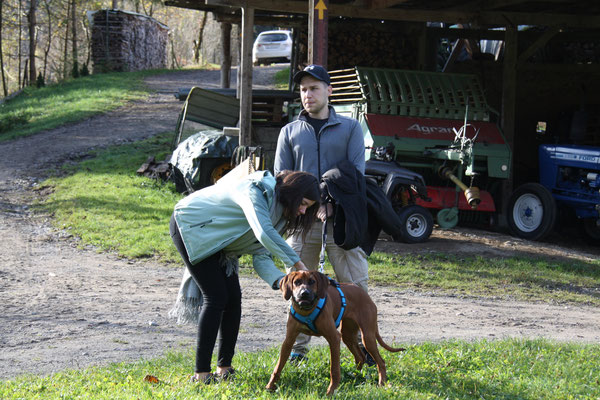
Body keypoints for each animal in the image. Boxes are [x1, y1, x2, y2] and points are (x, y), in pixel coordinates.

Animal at [266, 270, 404, 396]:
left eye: (312, 282)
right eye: (297, 282)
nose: (304, 293)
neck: (306, 310)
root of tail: (364, 293)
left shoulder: (334, 338)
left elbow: (334, 369)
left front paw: (331, 390)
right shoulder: (288, 340)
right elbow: (278, 366)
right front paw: (270, 386)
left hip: (367, 336)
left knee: (380, 361)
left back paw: (382, 383)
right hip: (347, 335)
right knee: (360, 357)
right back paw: (355, 376)